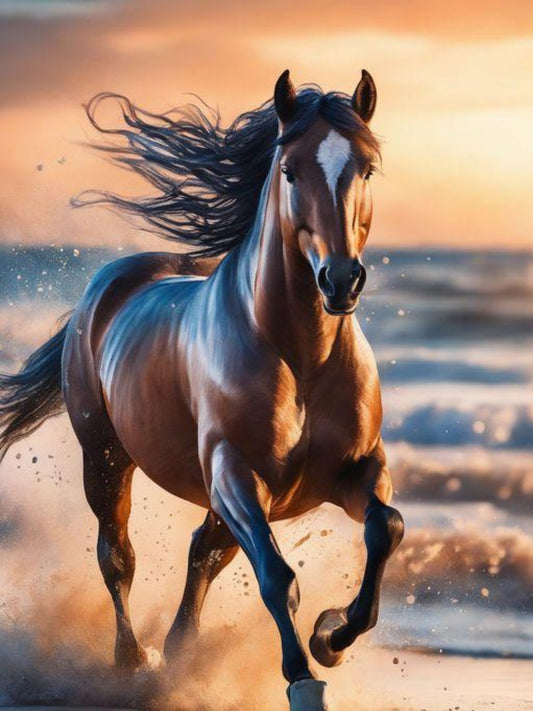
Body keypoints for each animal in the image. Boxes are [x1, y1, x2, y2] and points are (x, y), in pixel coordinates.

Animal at [0, 70, 404, 711]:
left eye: (366, 168)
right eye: (289, 171)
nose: (340, 280)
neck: (302, 360)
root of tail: (106, 287)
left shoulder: (355, 470)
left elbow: (385, 528)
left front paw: (329, 637)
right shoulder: (236, 474)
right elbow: (277, 577)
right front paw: (302, 679)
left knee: (201, 554)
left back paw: (179, 652)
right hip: (106, 457)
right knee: (118, 557)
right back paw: (133, 662)